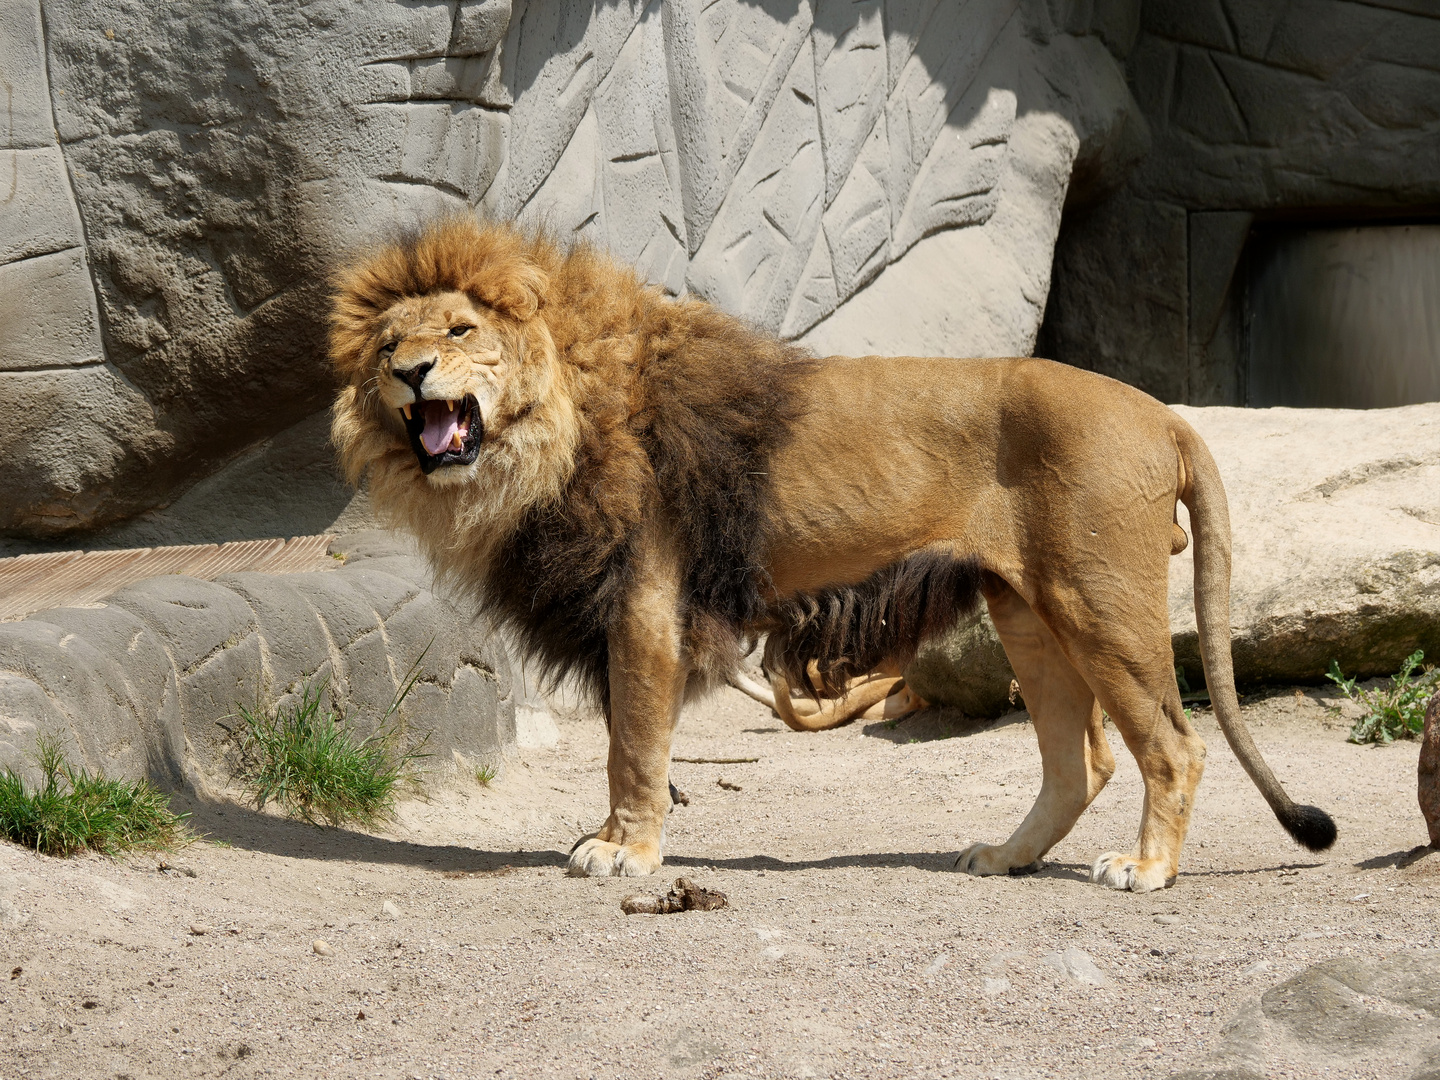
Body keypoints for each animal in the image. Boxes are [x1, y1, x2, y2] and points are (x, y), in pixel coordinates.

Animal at [329, 220, 1336, 898]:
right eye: (389, 344)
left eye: (460, 332)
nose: (409, 374)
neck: (547, 433)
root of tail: (1161, 412)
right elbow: (629, 741)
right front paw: (619, 840)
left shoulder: (646, 603)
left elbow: (632, 744)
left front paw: (624, 851)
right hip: (1030, 611)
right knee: (1079, 760)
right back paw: (1003, 858)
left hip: (1101, 602)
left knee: (1173, 743)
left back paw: (1146, 868)